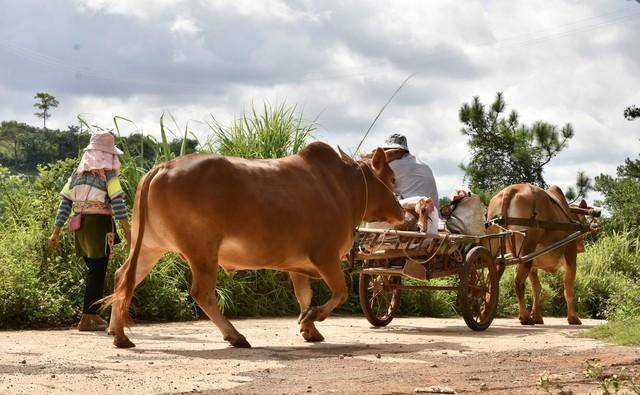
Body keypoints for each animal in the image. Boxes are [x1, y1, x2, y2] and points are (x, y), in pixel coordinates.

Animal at [107, 142, 402, 350]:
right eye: (392, 178)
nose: (401, 212)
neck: (343, 188)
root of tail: (163, 167)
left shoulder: (297, 265)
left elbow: (304, 296)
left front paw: (309, 329)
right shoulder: (326, 256)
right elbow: (339, 294)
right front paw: (312, 318)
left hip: (149, 248)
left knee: (124, 278)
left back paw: (118, 335)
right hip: (203, 251)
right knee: (202, 292)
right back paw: (235, 336)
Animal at [488, 184, 588, 326]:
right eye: (584, 219)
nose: (582, 247)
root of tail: (510, 190)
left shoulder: (533, 266)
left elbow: (537, 289)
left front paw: (537, 316)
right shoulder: (571, 256)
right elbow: (568, 289)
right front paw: (573, 318)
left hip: (496, 247)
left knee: (490, 280)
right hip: (526, 250)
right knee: (518, 283)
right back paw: (525, 317)